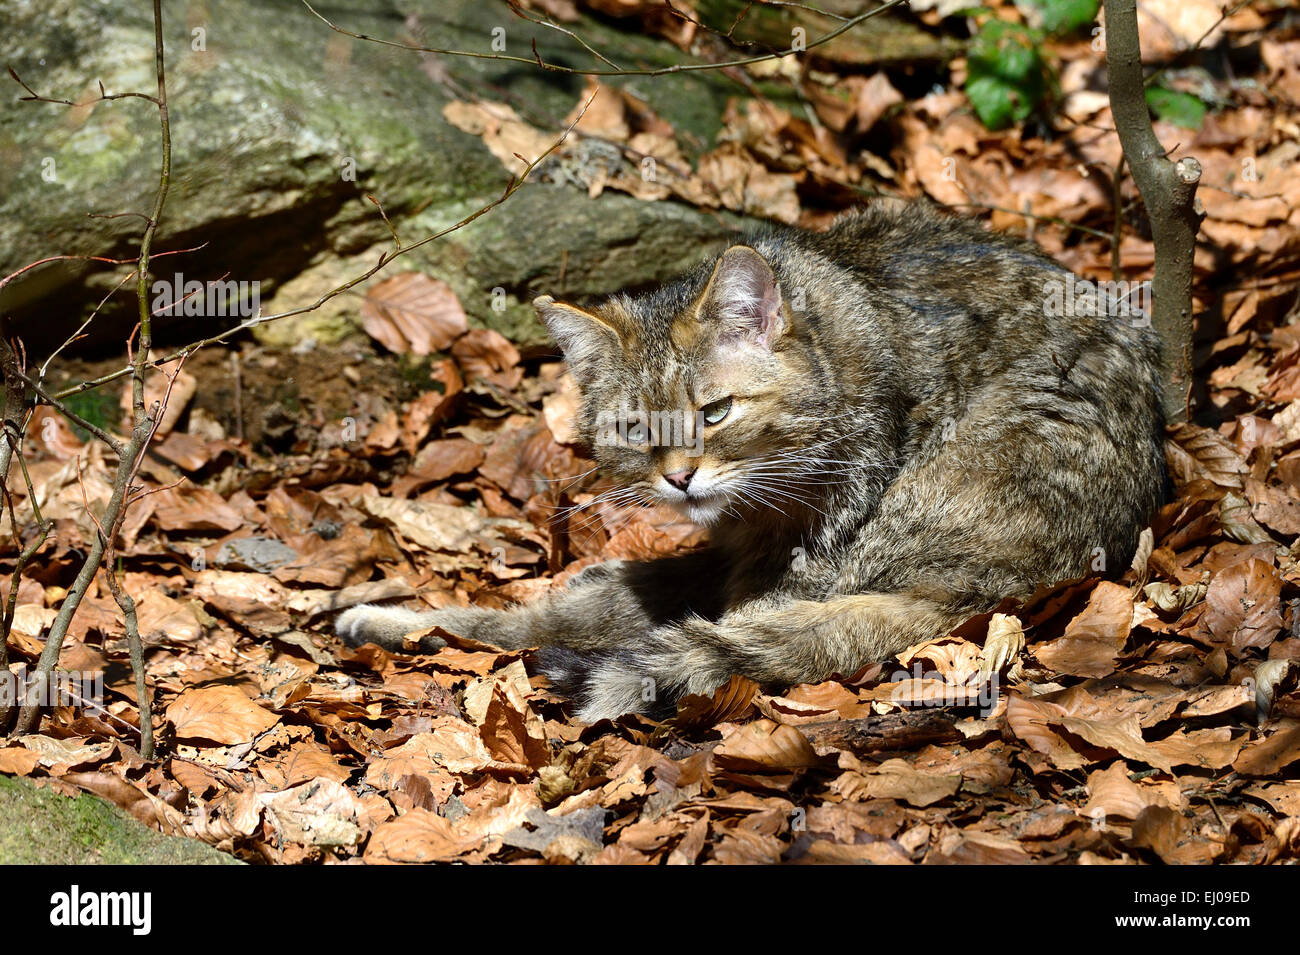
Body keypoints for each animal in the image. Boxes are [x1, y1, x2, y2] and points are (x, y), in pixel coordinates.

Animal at [335, 203, 1170, 722]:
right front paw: (406, 620)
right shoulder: (720, 559)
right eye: (636, 428)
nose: (679, 476)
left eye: (715, 412)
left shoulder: (792, 570)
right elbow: (534, 613)